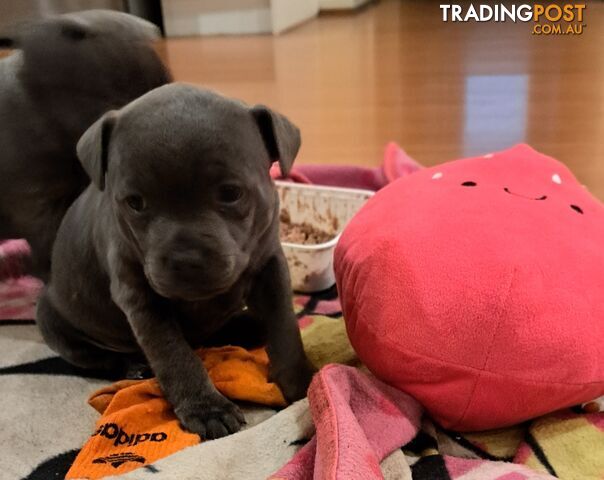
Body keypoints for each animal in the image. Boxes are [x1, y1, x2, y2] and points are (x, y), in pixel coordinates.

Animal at [39, 82, 316, 438]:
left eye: (231, 193)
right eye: (135, 202)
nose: (185, 259)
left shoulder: (270, 267)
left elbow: (284, 325)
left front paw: (302, 382)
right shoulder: (141, 298)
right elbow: (174, 354)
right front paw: (206, 408)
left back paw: (246, 326)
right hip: (53, 320)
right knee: (98, 356)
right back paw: (134, 366)